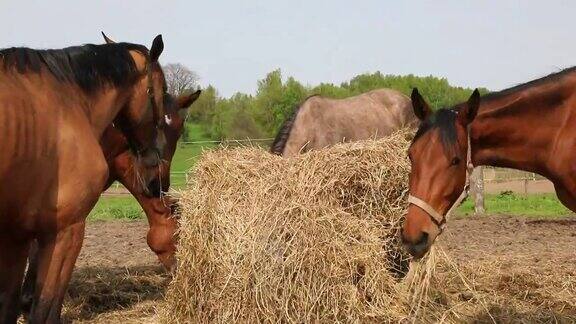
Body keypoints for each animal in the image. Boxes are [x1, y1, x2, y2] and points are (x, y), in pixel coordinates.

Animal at [0, 36, 170, 322]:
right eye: (162, 91)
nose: (156, 178)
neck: (69, 102)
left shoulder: (16, 236)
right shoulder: (66, 231)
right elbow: (44, 309)